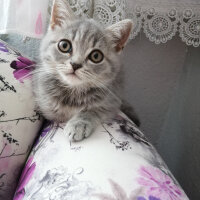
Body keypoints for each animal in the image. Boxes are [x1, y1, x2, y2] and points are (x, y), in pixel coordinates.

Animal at [32, 0, 139, 141]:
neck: (73, 93)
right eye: (64, 45)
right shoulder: (47, 107)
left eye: (96, 56)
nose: (75, 64)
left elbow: (93, 110)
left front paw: (78, 124)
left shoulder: (112, 101)